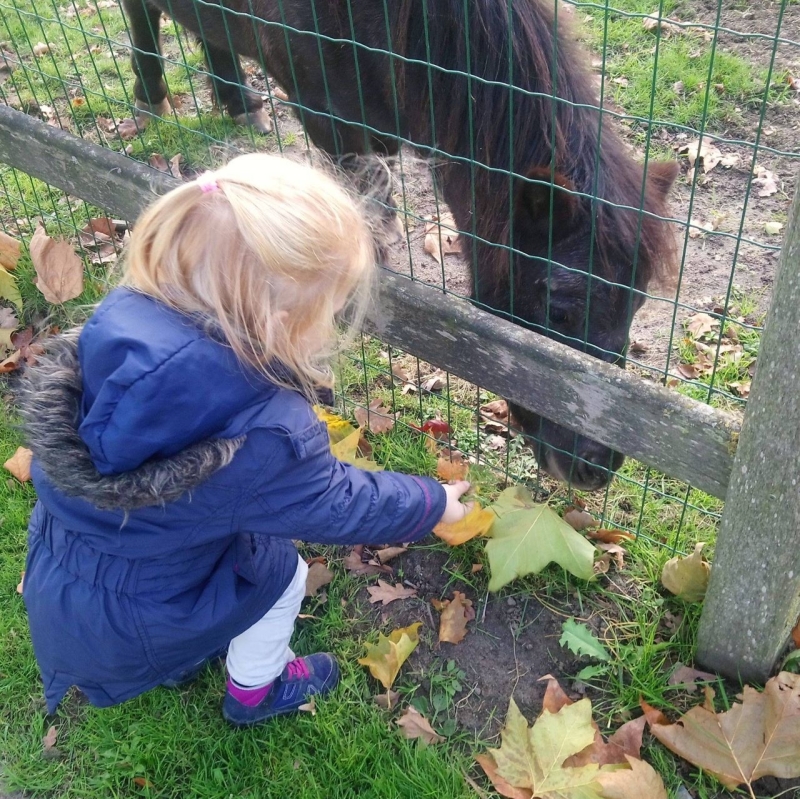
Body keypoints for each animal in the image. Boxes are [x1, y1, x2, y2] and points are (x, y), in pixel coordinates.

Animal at [122, 0, 680, 490]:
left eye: (637, 305)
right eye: (559, 308)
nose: (596, 467)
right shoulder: (331, 121)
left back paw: (240, 102)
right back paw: (152, 95)